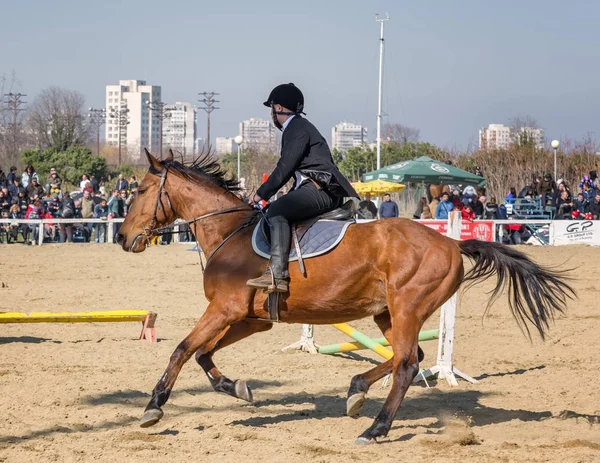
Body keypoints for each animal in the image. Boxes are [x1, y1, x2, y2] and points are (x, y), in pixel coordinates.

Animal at [116, 151, 572, 446]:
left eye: (140, 190)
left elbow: (181, 349)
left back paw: (375, 429)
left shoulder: (223, 309)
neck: (231, 232)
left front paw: (153, 408)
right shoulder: (249, 318)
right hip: (388, 313)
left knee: (408, 364)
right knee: (409, 357)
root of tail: (451, 243)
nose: (122, 237)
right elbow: (203, 354)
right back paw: (356, 392)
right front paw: (237, 388)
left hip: (407, 307)